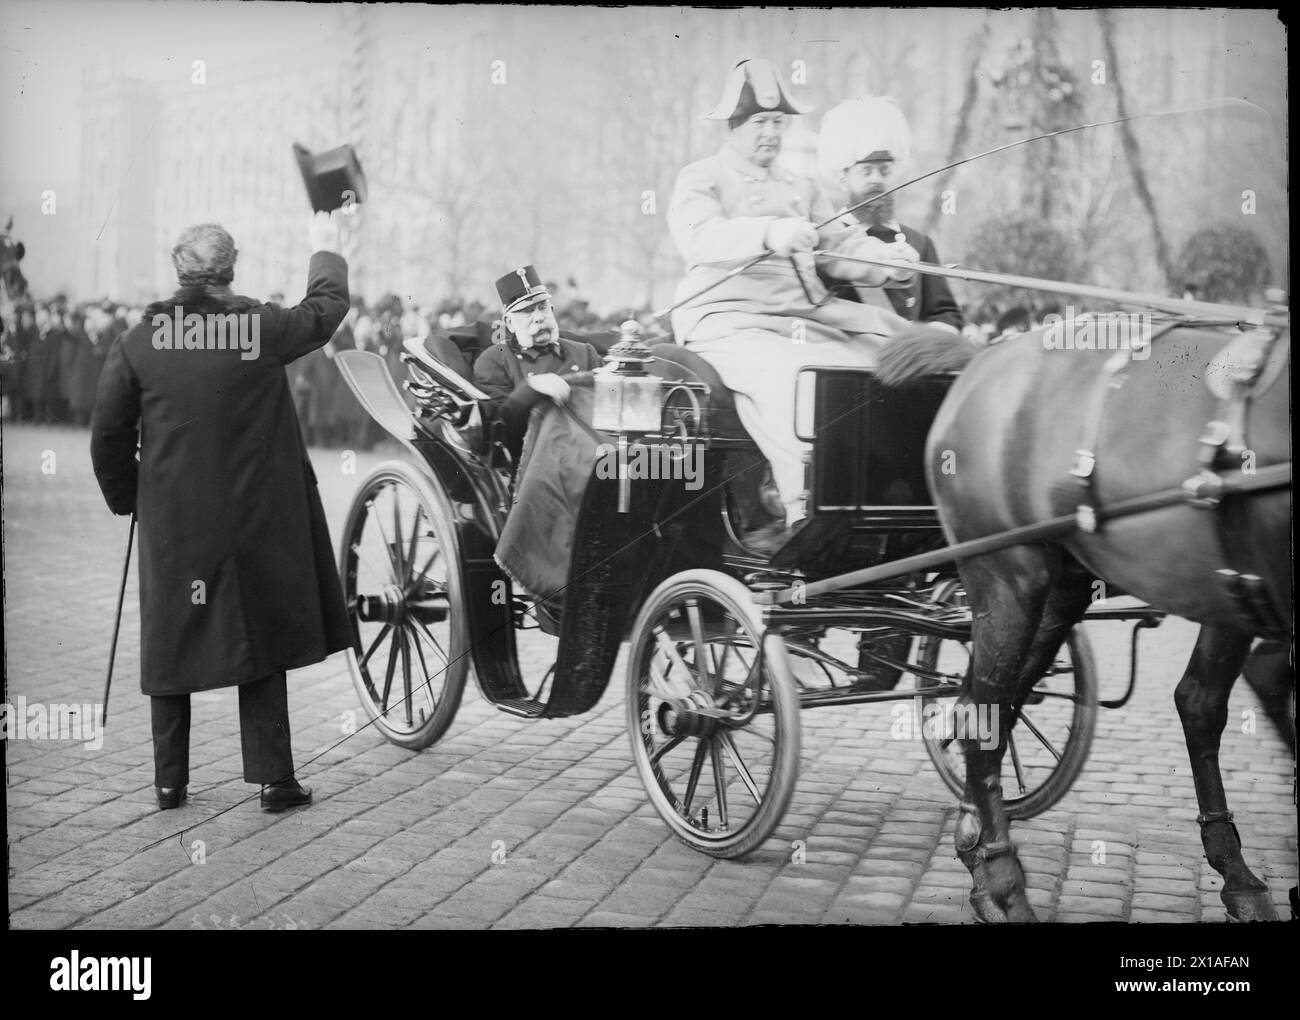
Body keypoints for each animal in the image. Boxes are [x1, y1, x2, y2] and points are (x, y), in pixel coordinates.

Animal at [873, 314, 1289, 919]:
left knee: (1007, 704)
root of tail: (984, 355)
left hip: (1066, 588)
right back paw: (1002, 883)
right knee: (981, 716)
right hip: (1009, 578)